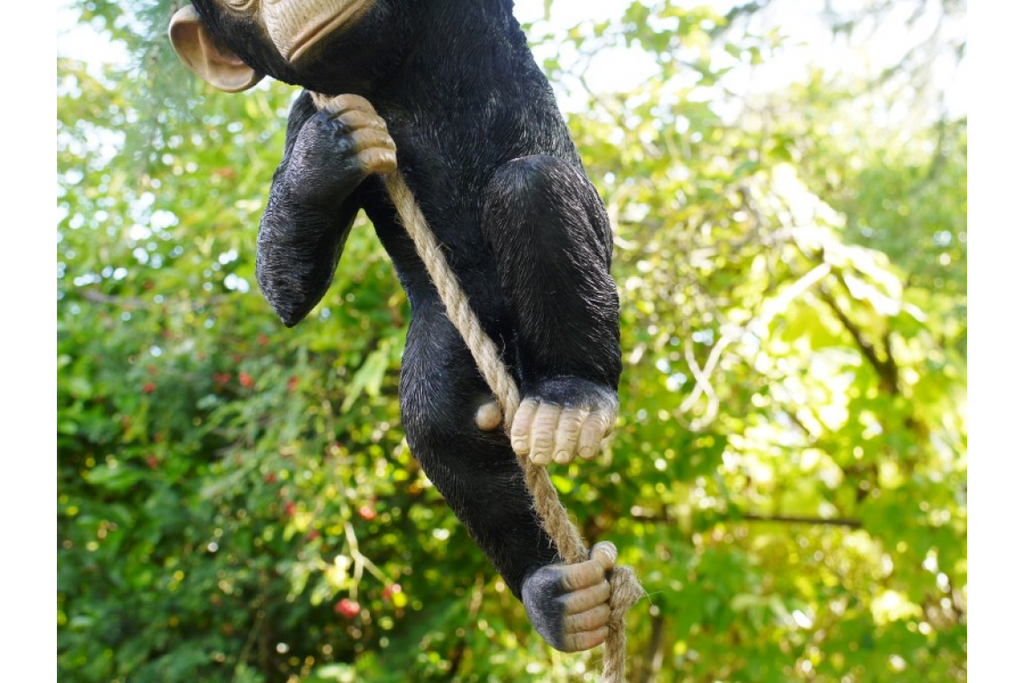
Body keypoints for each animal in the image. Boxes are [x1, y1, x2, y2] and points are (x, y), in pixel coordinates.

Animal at [170, 0, 622, 652]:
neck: (391, 72)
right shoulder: (307, 111)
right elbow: (286, 292)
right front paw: (328, 152)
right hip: (448, 333)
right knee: (440, 431)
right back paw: (556, 595)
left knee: (532, 185)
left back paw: (573, 397)